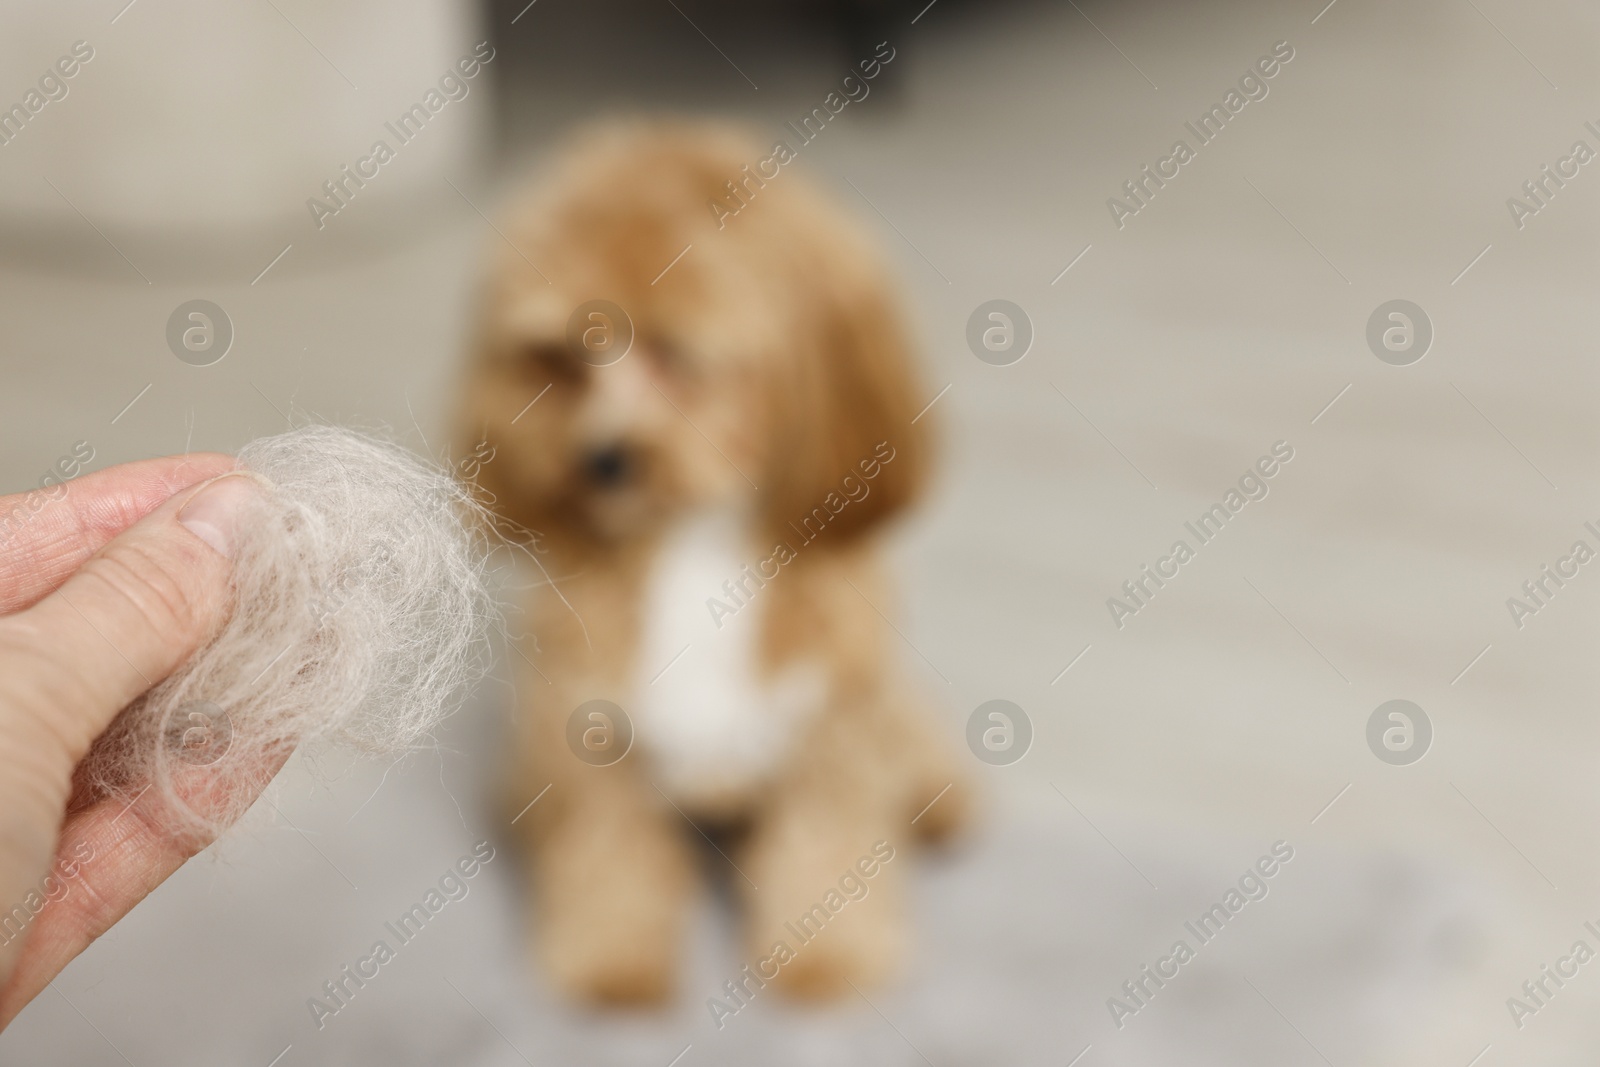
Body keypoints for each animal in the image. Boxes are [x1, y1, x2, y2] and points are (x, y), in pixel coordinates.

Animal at [457, 120, 966, 1004]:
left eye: (677, 351)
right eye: (561, 356)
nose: (601, 461)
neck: (693, 545)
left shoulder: (831, 731)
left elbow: (826, 845)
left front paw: (827, 959)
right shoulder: (588, 740)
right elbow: (610, 854)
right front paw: (612, 962)